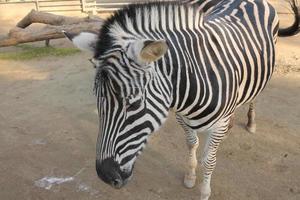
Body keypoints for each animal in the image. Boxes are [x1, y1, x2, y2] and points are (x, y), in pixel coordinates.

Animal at [63, 0, 298, 200]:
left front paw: (204, 190)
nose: (104, 176)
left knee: (253, 98)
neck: (189, 86)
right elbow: (192, 143)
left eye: (134, 104)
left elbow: (209, 159)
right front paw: (191, 177)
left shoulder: (217, 123)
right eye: (98, 101)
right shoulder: (181, 117)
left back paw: (250, 122)